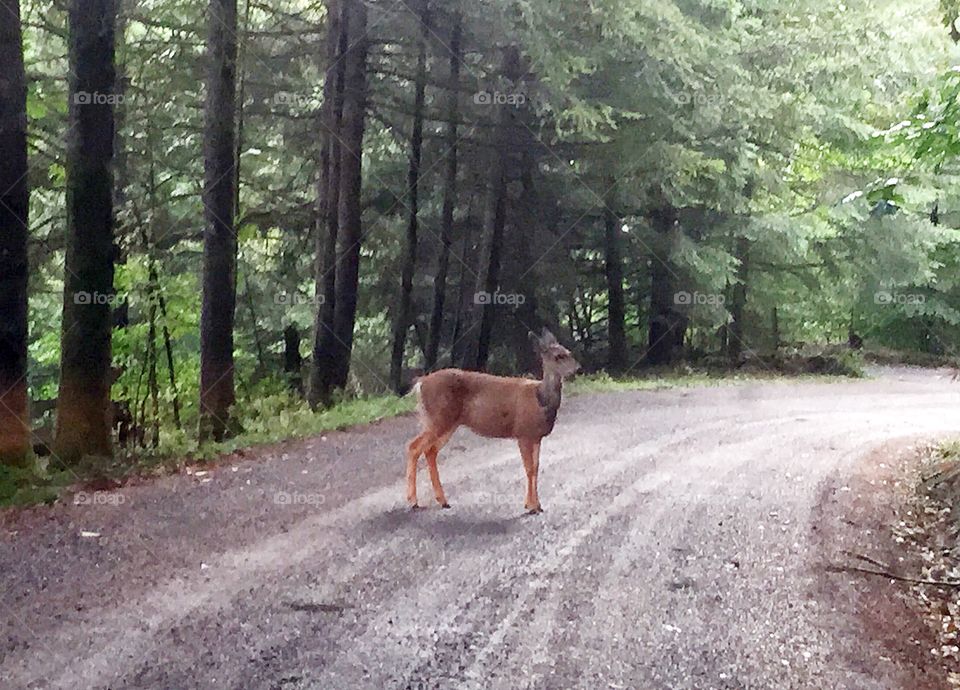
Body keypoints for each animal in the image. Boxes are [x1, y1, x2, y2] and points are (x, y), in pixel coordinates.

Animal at [405, 328, 581, 514]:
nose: (578, 368)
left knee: (430, 451)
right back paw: (413, 501)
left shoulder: (536, 437)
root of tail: (420, 383)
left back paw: (443, 500)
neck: (540, 399)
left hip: (448, 423)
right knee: (414, 446)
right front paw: (532, 506)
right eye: (558, 356)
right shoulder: (523, 432)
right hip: (438, 418)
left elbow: (536, 467)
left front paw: (536, 504)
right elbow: (529, 468)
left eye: (569, 352)